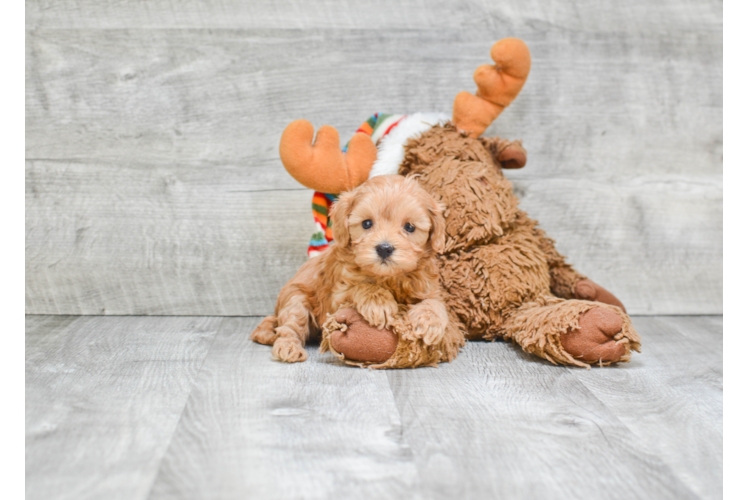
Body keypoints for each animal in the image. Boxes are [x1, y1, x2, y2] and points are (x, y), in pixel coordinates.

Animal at [251, 175, 462, 368]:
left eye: (409, 227)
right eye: (366, 223)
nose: (384, 248)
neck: (389, 278)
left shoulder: (429, 288)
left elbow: (436, 304)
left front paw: (429, 321)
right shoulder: (335, 297)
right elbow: (360, 286)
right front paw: (379, 302)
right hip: (295, 300)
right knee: (290, 327)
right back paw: (289, 348)